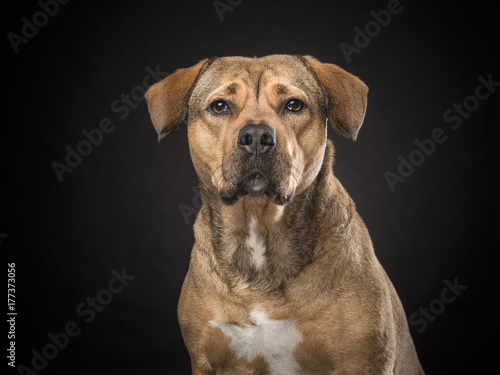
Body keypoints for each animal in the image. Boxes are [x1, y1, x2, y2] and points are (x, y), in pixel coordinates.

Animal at [146, 54, 426, 374]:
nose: (256, 136)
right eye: (219, 106)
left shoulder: (363, 361)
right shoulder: (206, 361)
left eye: (294, 105)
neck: (259, 227)